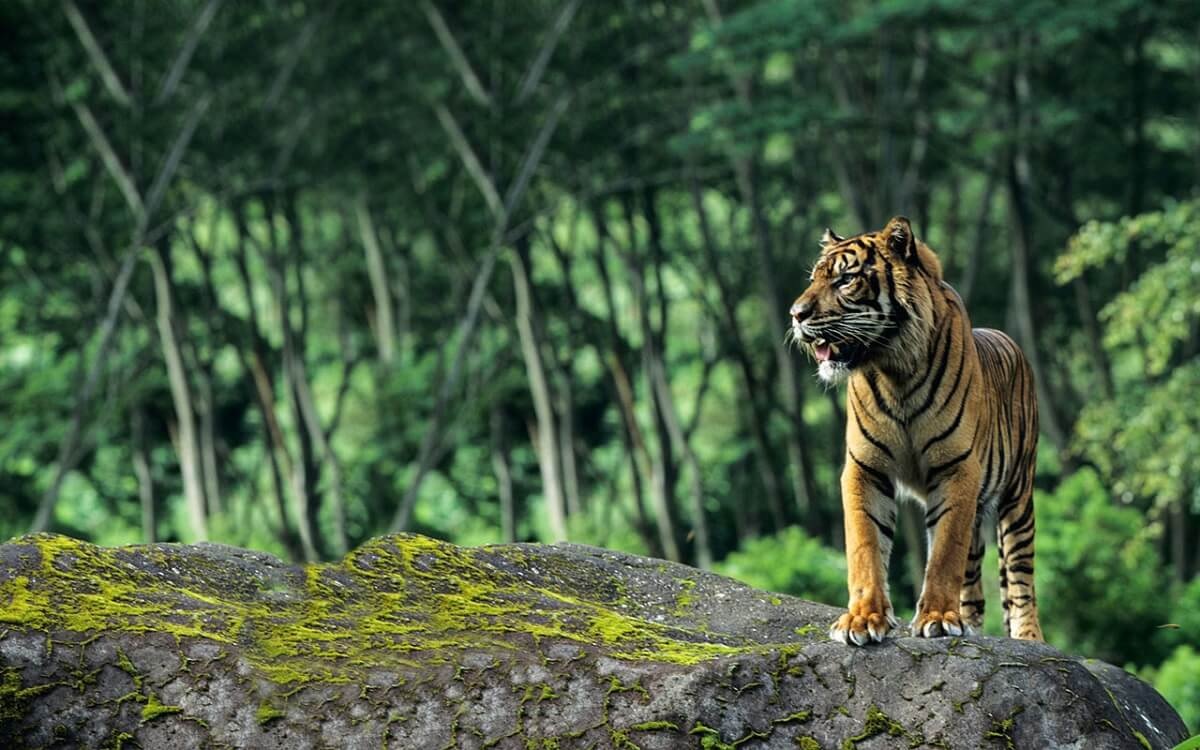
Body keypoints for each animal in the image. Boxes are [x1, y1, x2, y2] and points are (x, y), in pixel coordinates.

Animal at [787, 214, 1041, 643]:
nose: (795, 314)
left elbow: (944, 554)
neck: (895, 370)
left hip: (1018, 496)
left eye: (844, 279)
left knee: (1020, 579)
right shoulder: (865, 468)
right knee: (974, 584)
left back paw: (1028, 638)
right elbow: (865, 545)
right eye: (814, 278)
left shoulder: (957, 469)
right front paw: (862, 619)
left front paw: (937, 617)